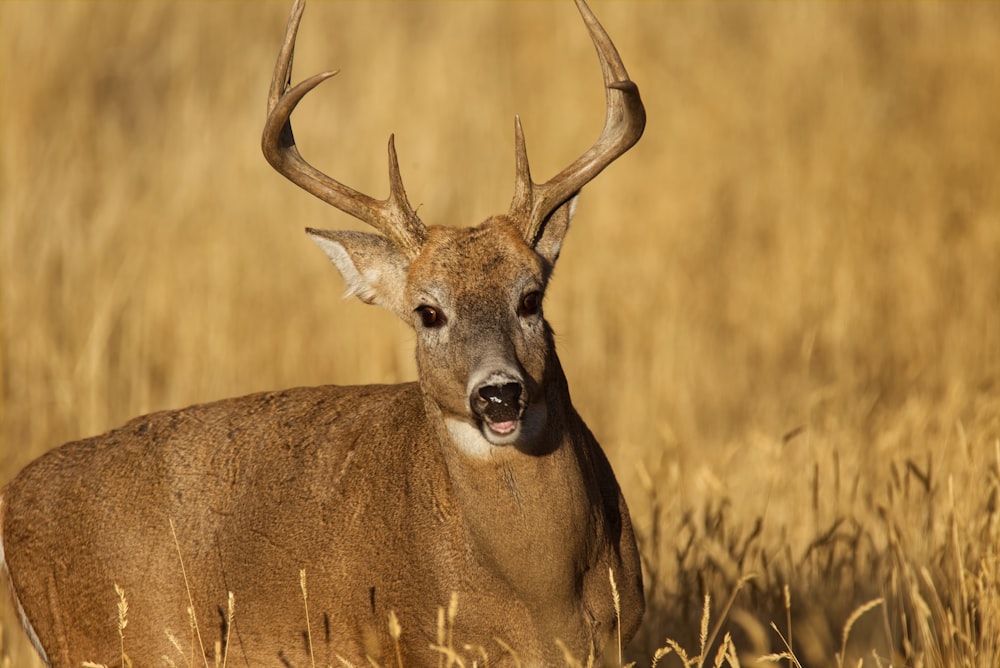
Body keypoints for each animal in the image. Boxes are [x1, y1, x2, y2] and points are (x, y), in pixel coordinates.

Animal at [0, 0, 648, 664]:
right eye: (427, 311)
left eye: (531, 296)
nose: (498, 393)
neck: (543, 602)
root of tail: (12, 499)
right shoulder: (411, 646)